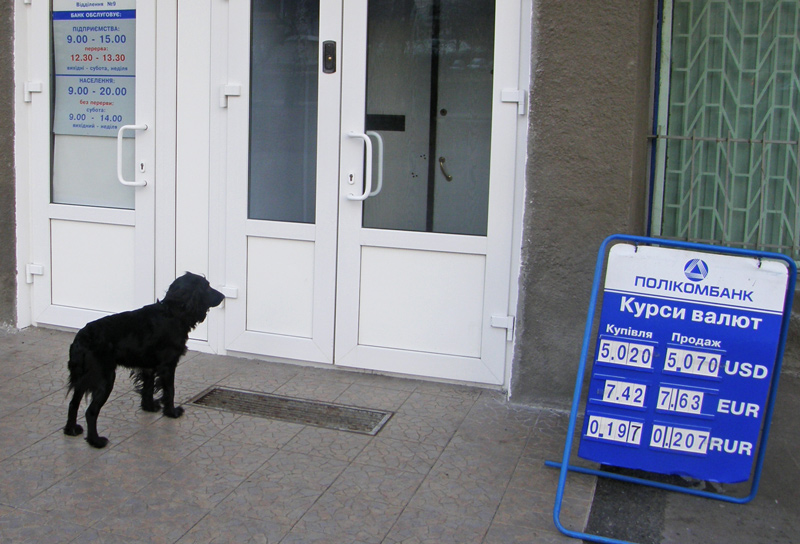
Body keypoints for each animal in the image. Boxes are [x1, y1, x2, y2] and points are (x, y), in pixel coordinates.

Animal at [64, 272, 225, 448]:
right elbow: (170, 391)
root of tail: (80, 340)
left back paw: (71, 429)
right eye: (206, 286)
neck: (172, 312)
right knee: (90, 412)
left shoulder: (148, 367)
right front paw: (172, 412)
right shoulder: (168, 365)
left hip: (82, 378)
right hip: (104, 379)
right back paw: (96, 441)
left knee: (73, 404)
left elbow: (148, 387)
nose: (223, 296)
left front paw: (149, 407)